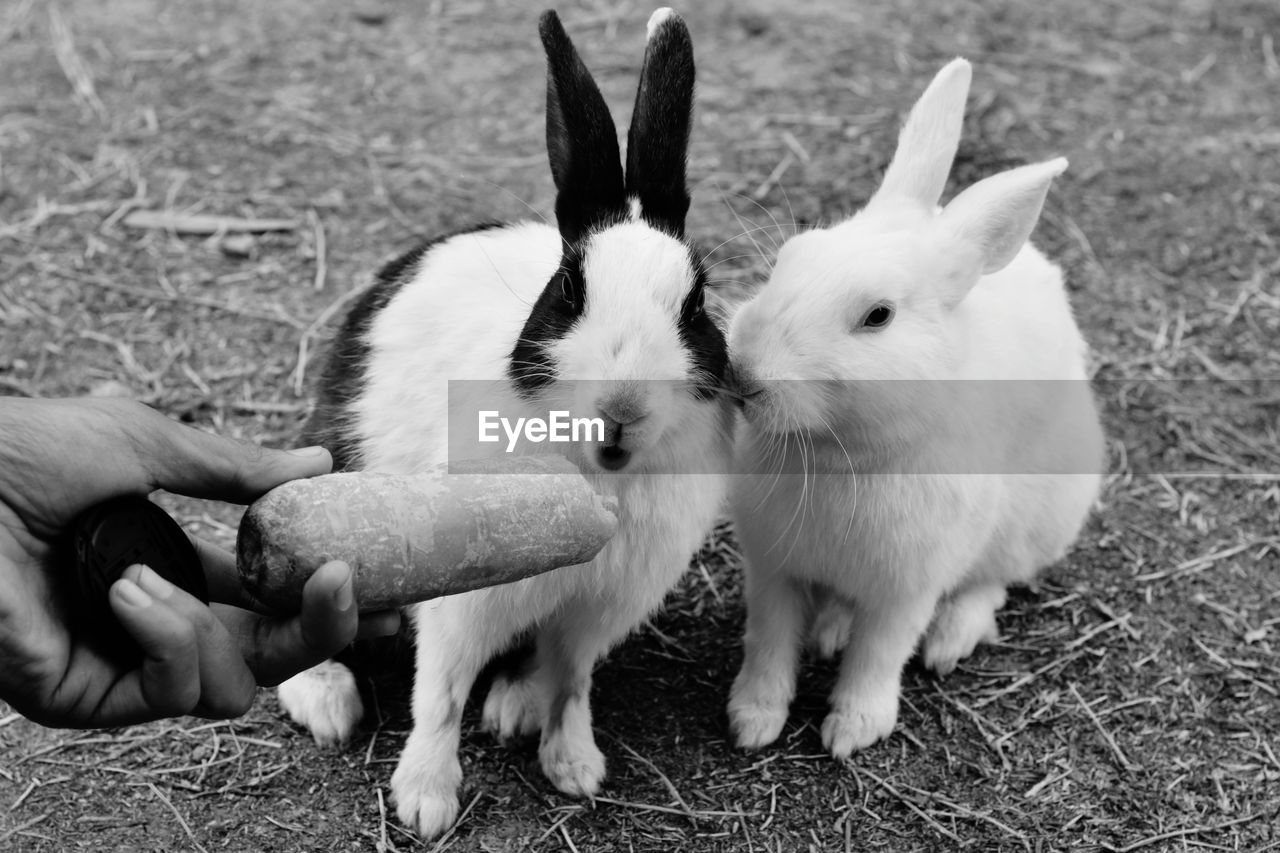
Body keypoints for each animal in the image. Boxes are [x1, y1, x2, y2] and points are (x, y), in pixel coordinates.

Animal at [277, 8, 742, 835]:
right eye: (569, 290)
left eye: (694, 305)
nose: (622, 410)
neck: (598, 484)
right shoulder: (465, 598)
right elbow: (440, 690)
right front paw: (425, 799)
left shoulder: (599, 608)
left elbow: (574, 679)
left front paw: (576, 765)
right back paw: (324, 697)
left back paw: (516, 704)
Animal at [727, 59, 1105, 758]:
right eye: (792, 258)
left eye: (878, 316)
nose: (744, 371)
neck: (836, 455)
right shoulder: (774, 571)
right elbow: (769, 644)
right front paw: (753, 720)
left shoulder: (906, 588)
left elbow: (880, 655)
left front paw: (852, 730)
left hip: (1035, 523)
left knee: (990, 583)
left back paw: (950, 640)